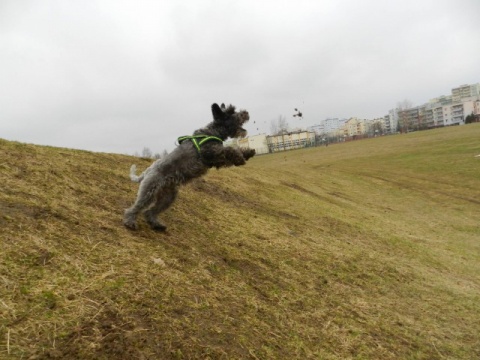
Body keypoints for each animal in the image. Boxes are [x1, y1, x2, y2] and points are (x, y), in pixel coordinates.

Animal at [125, 102, 256, 232]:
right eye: (231, 112)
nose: (246, 112)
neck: (213, 131)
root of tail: (147, 171)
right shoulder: (211, 153)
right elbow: (229, 149)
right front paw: (240, 157)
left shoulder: (216, 159)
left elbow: (233, 150)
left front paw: (248, 152)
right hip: (149, 192)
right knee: (135, 207)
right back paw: (130, 222)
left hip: (168, 198)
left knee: (150, 211)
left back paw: (157, 224)